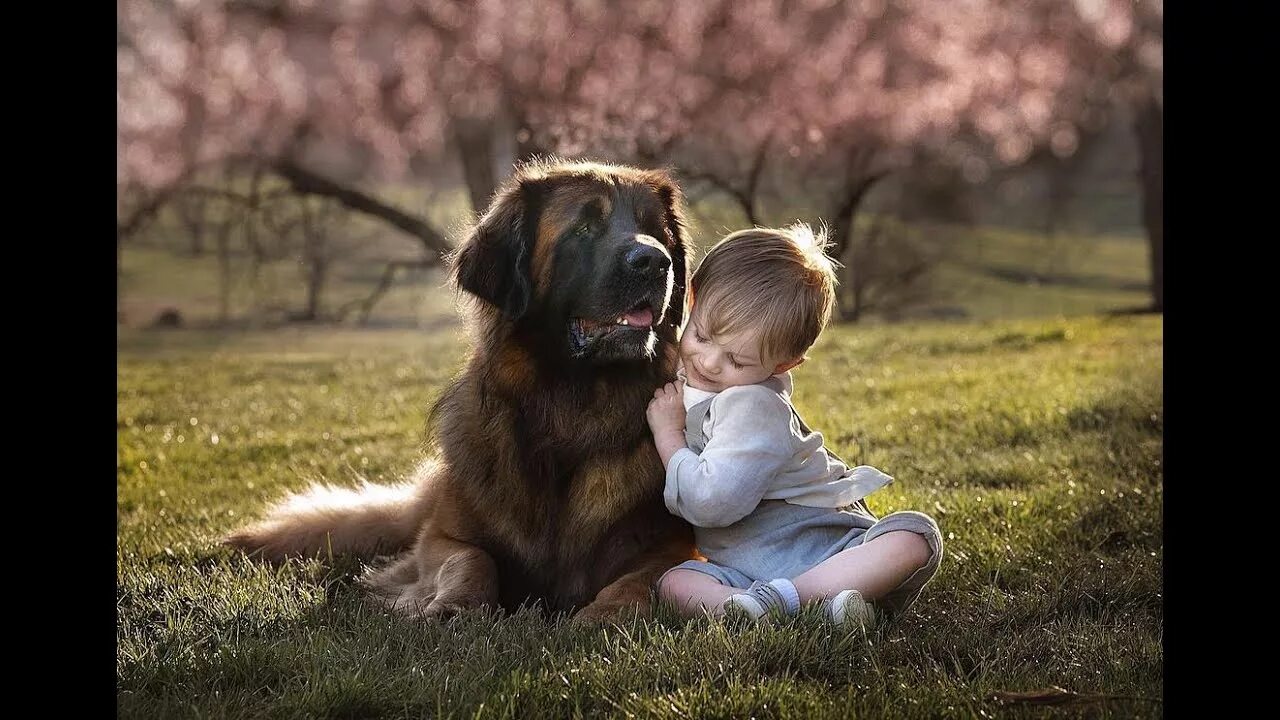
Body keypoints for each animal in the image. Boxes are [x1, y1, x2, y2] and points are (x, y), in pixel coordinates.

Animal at [225, 159, 696, 620]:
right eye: (584, 227)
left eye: (656, 232)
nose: (655, 262)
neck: (570, 411)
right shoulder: (442, 535)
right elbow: (471, 559)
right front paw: (454, 606)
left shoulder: (672, 548)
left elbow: (637, 580)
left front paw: (605, 614)